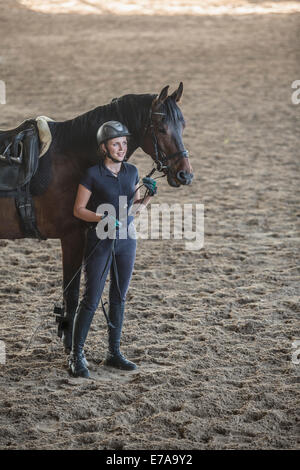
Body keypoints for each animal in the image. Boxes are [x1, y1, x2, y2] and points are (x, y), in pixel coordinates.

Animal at [0, 82, 193, 350]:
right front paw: (70, 346)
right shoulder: (72, 237)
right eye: (162, 128)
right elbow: (71, 295)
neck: (72, 156)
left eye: (182, 126)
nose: (185, 174)